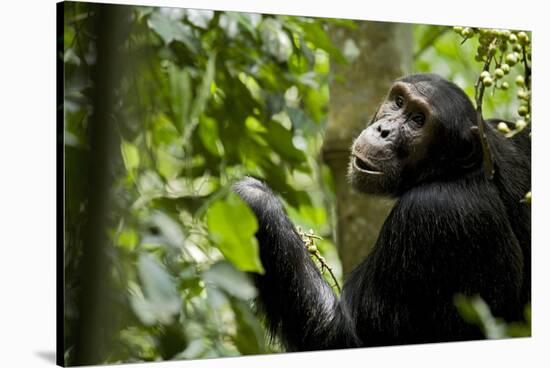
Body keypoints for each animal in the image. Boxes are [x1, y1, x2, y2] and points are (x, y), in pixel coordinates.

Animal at [233, 72, 532, 350]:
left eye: (418, 120)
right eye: (398, 102)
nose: (383, 130)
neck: (456, 172)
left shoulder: (431, 211)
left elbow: (346, 336)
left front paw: (256, 198)